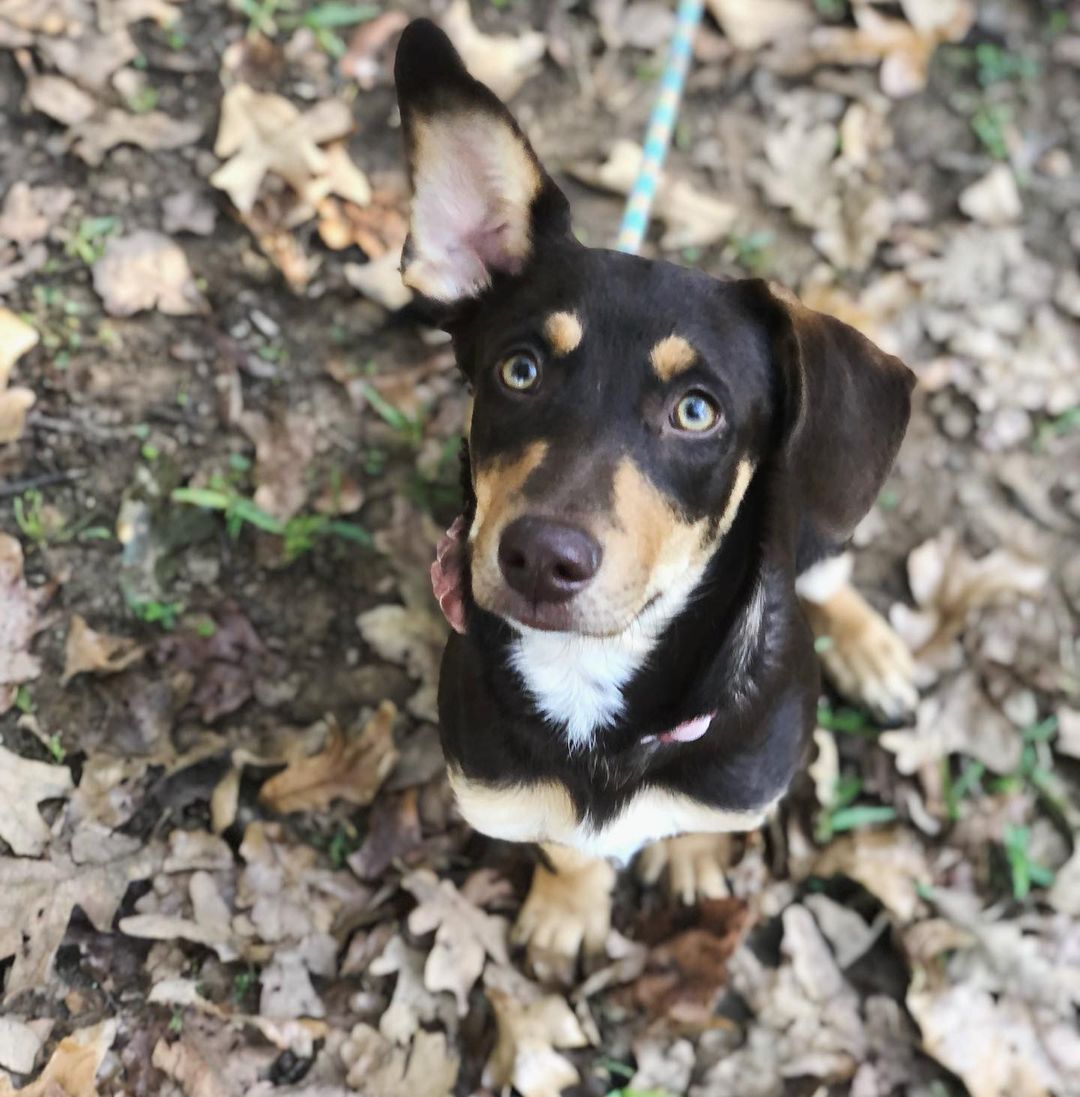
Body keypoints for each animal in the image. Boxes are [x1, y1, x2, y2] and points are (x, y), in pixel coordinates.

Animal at [392, 19, 916, 969]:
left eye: (697, 410)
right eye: (519, 370)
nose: (540, 557)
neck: (590, 682)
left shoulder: (743, 781)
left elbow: (700, 823)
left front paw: (692, 858)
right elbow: (566, 849)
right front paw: (570, 909)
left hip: (820, 530)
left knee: (829, 573)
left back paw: (875, 653)